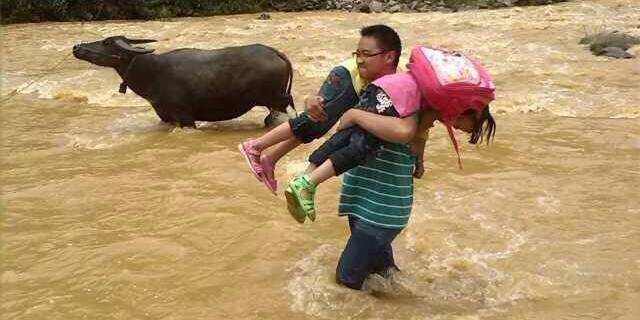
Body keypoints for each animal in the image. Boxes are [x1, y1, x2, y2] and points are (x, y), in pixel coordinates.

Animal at [73, 36, 296, 127]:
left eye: (107, 42)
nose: (77, 47)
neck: (154, 73)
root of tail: (277, 53)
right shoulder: (165, 117)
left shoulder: (185, 117)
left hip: (276, 102)